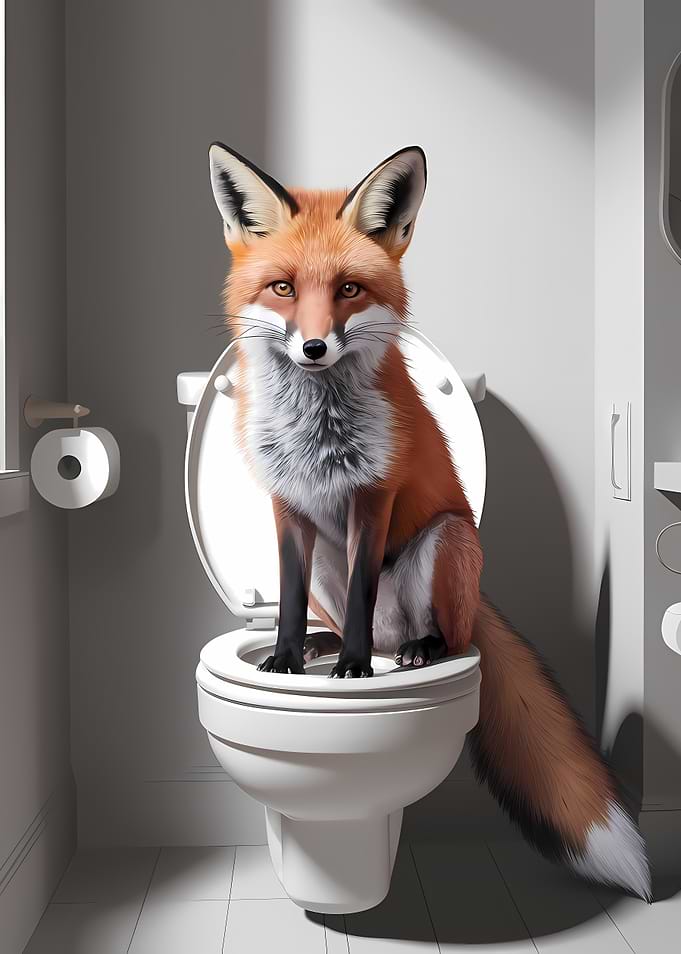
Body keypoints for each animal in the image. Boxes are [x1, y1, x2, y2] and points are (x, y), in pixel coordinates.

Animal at [207, 142, 651, 901]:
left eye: (349, 290)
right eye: (283, 288)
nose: (314, 348)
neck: (315, 431)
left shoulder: (373, 494)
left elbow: (363, 592)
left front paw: (356, 670)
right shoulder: (287, 504)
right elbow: (287, 600)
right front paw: (291, 657)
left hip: (448, 539)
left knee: (445, 632)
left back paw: (414, 651)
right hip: (331, 564)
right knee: (347, 615)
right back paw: (329, 648)